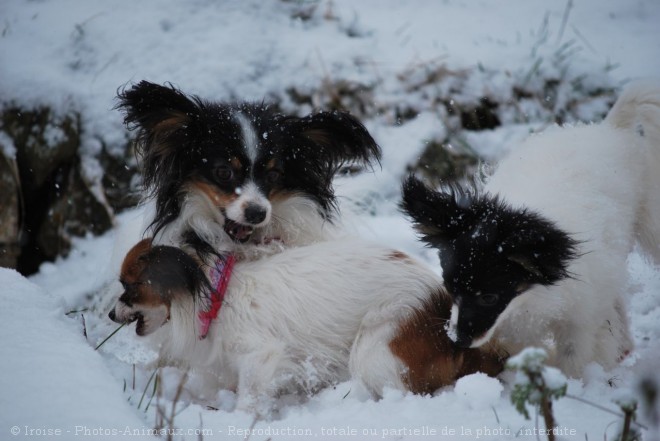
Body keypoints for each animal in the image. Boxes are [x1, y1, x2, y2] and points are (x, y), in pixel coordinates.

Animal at [402, 79, 660, 374]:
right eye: (449, 288)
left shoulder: (580, 319)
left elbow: (575, 359)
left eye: (489, 298)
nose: (458, 340)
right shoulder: (516, 328)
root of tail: (611, 129)